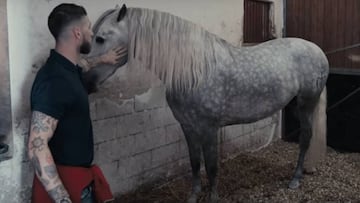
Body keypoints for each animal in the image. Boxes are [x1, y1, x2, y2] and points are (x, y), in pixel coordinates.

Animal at [85, 5, 330, 203]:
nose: (88, 81)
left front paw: (212, 197)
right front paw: (193, 195)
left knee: (306, 137)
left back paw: (295, 179)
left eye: (100, 38)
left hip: (306, 104)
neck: (194, 71)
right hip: (297, 105)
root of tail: (317, 50)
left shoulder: (209, 129)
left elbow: (211, 166)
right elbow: (195, 163)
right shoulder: (188, 127)